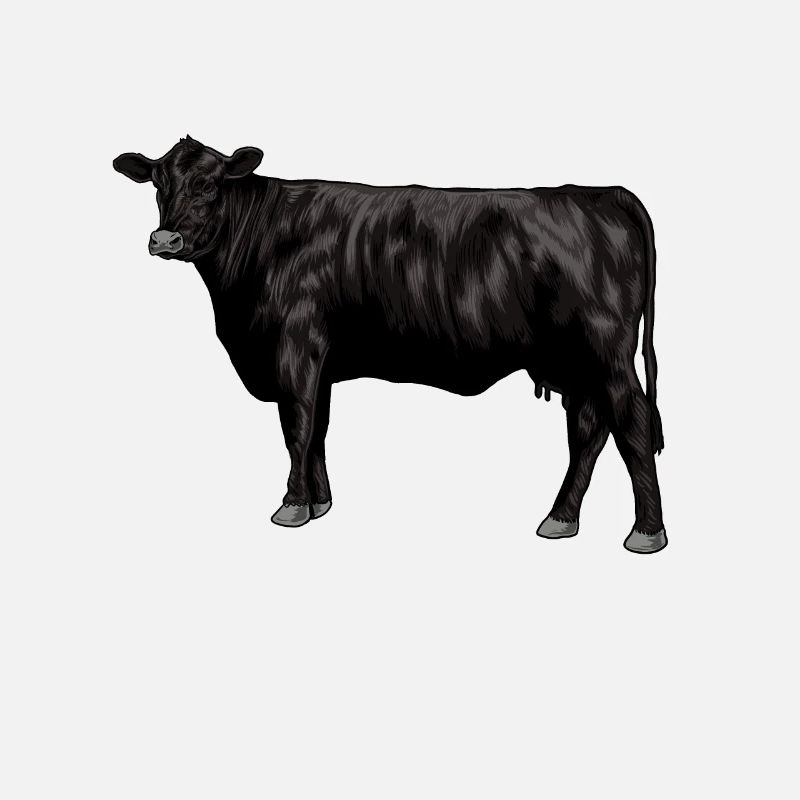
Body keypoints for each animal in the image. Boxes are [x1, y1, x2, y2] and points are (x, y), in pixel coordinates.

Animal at [113, 136, 667, 553]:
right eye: (158, 183)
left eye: (208, 183)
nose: (164, 240)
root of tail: (601, 192)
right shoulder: (321, 362)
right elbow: (318, 430)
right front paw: (319, 503)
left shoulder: (296, 348)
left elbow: (297, 427)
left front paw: (292, 507)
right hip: (574, 361)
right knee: (589, 430)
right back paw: (560, 519)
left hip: (605, 351)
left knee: (632, 422)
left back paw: (646, 532)